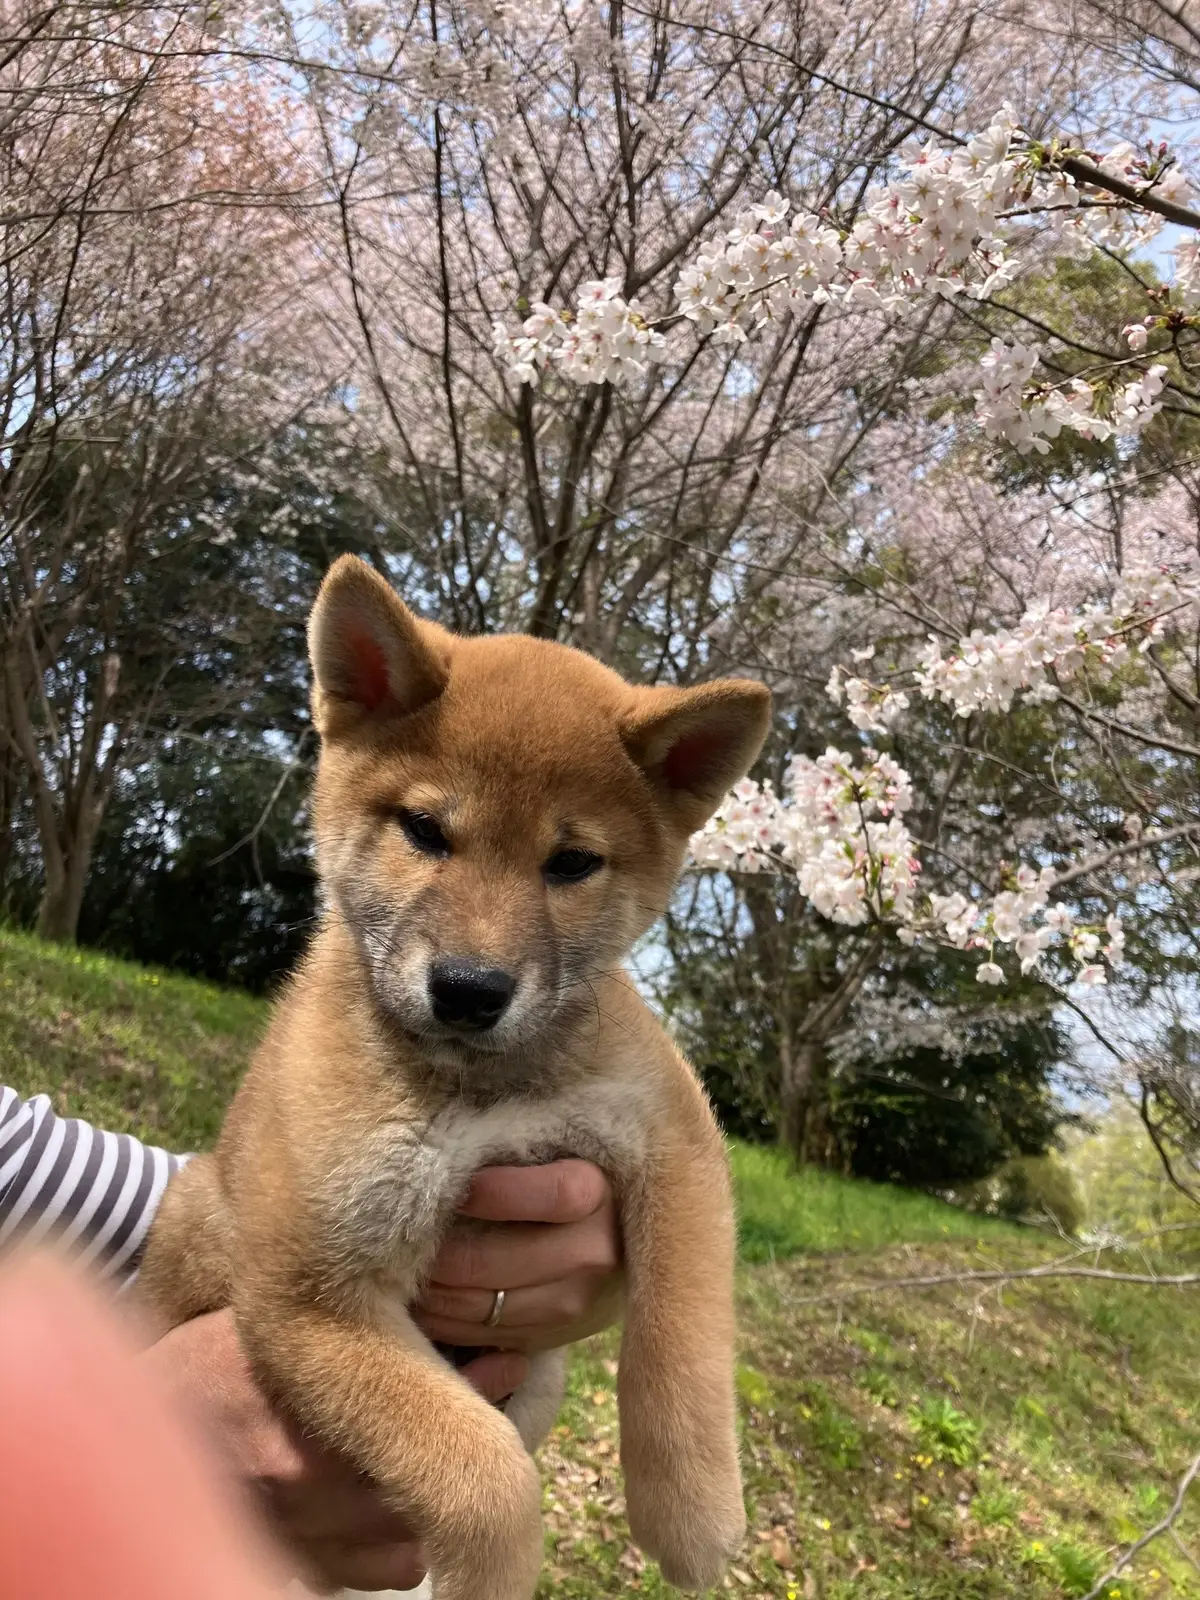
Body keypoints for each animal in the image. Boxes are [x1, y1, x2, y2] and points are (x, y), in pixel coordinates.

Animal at [131, 553, 771, 1600]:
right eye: (426, 831)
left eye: (572, 862)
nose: (470, 991)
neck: (482, 1090)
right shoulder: (311, 1293)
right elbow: (482, 1475)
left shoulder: (673, 1140)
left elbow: (677, 1346)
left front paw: (693, 1514)